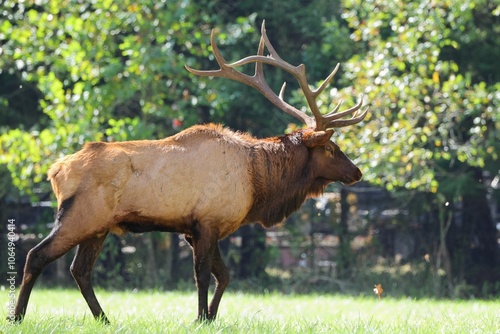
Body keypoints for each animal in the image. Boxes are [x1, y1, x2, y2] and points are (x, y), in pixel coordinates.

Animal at [9, 20, 366, 324]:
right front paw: (199, 317)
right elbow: (203, 275)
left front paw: (210, 316)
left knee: (80, 270)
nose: (357, 172)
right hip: (78, 216)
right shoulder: (206, 222)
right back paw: (17, 315)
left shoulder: (200, 228)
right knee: (36, 255)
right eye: (331, 148)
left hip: (99, 226)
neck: (258, 183)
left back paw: (104, 318)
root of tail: (55, 171)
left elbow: (224, 274)